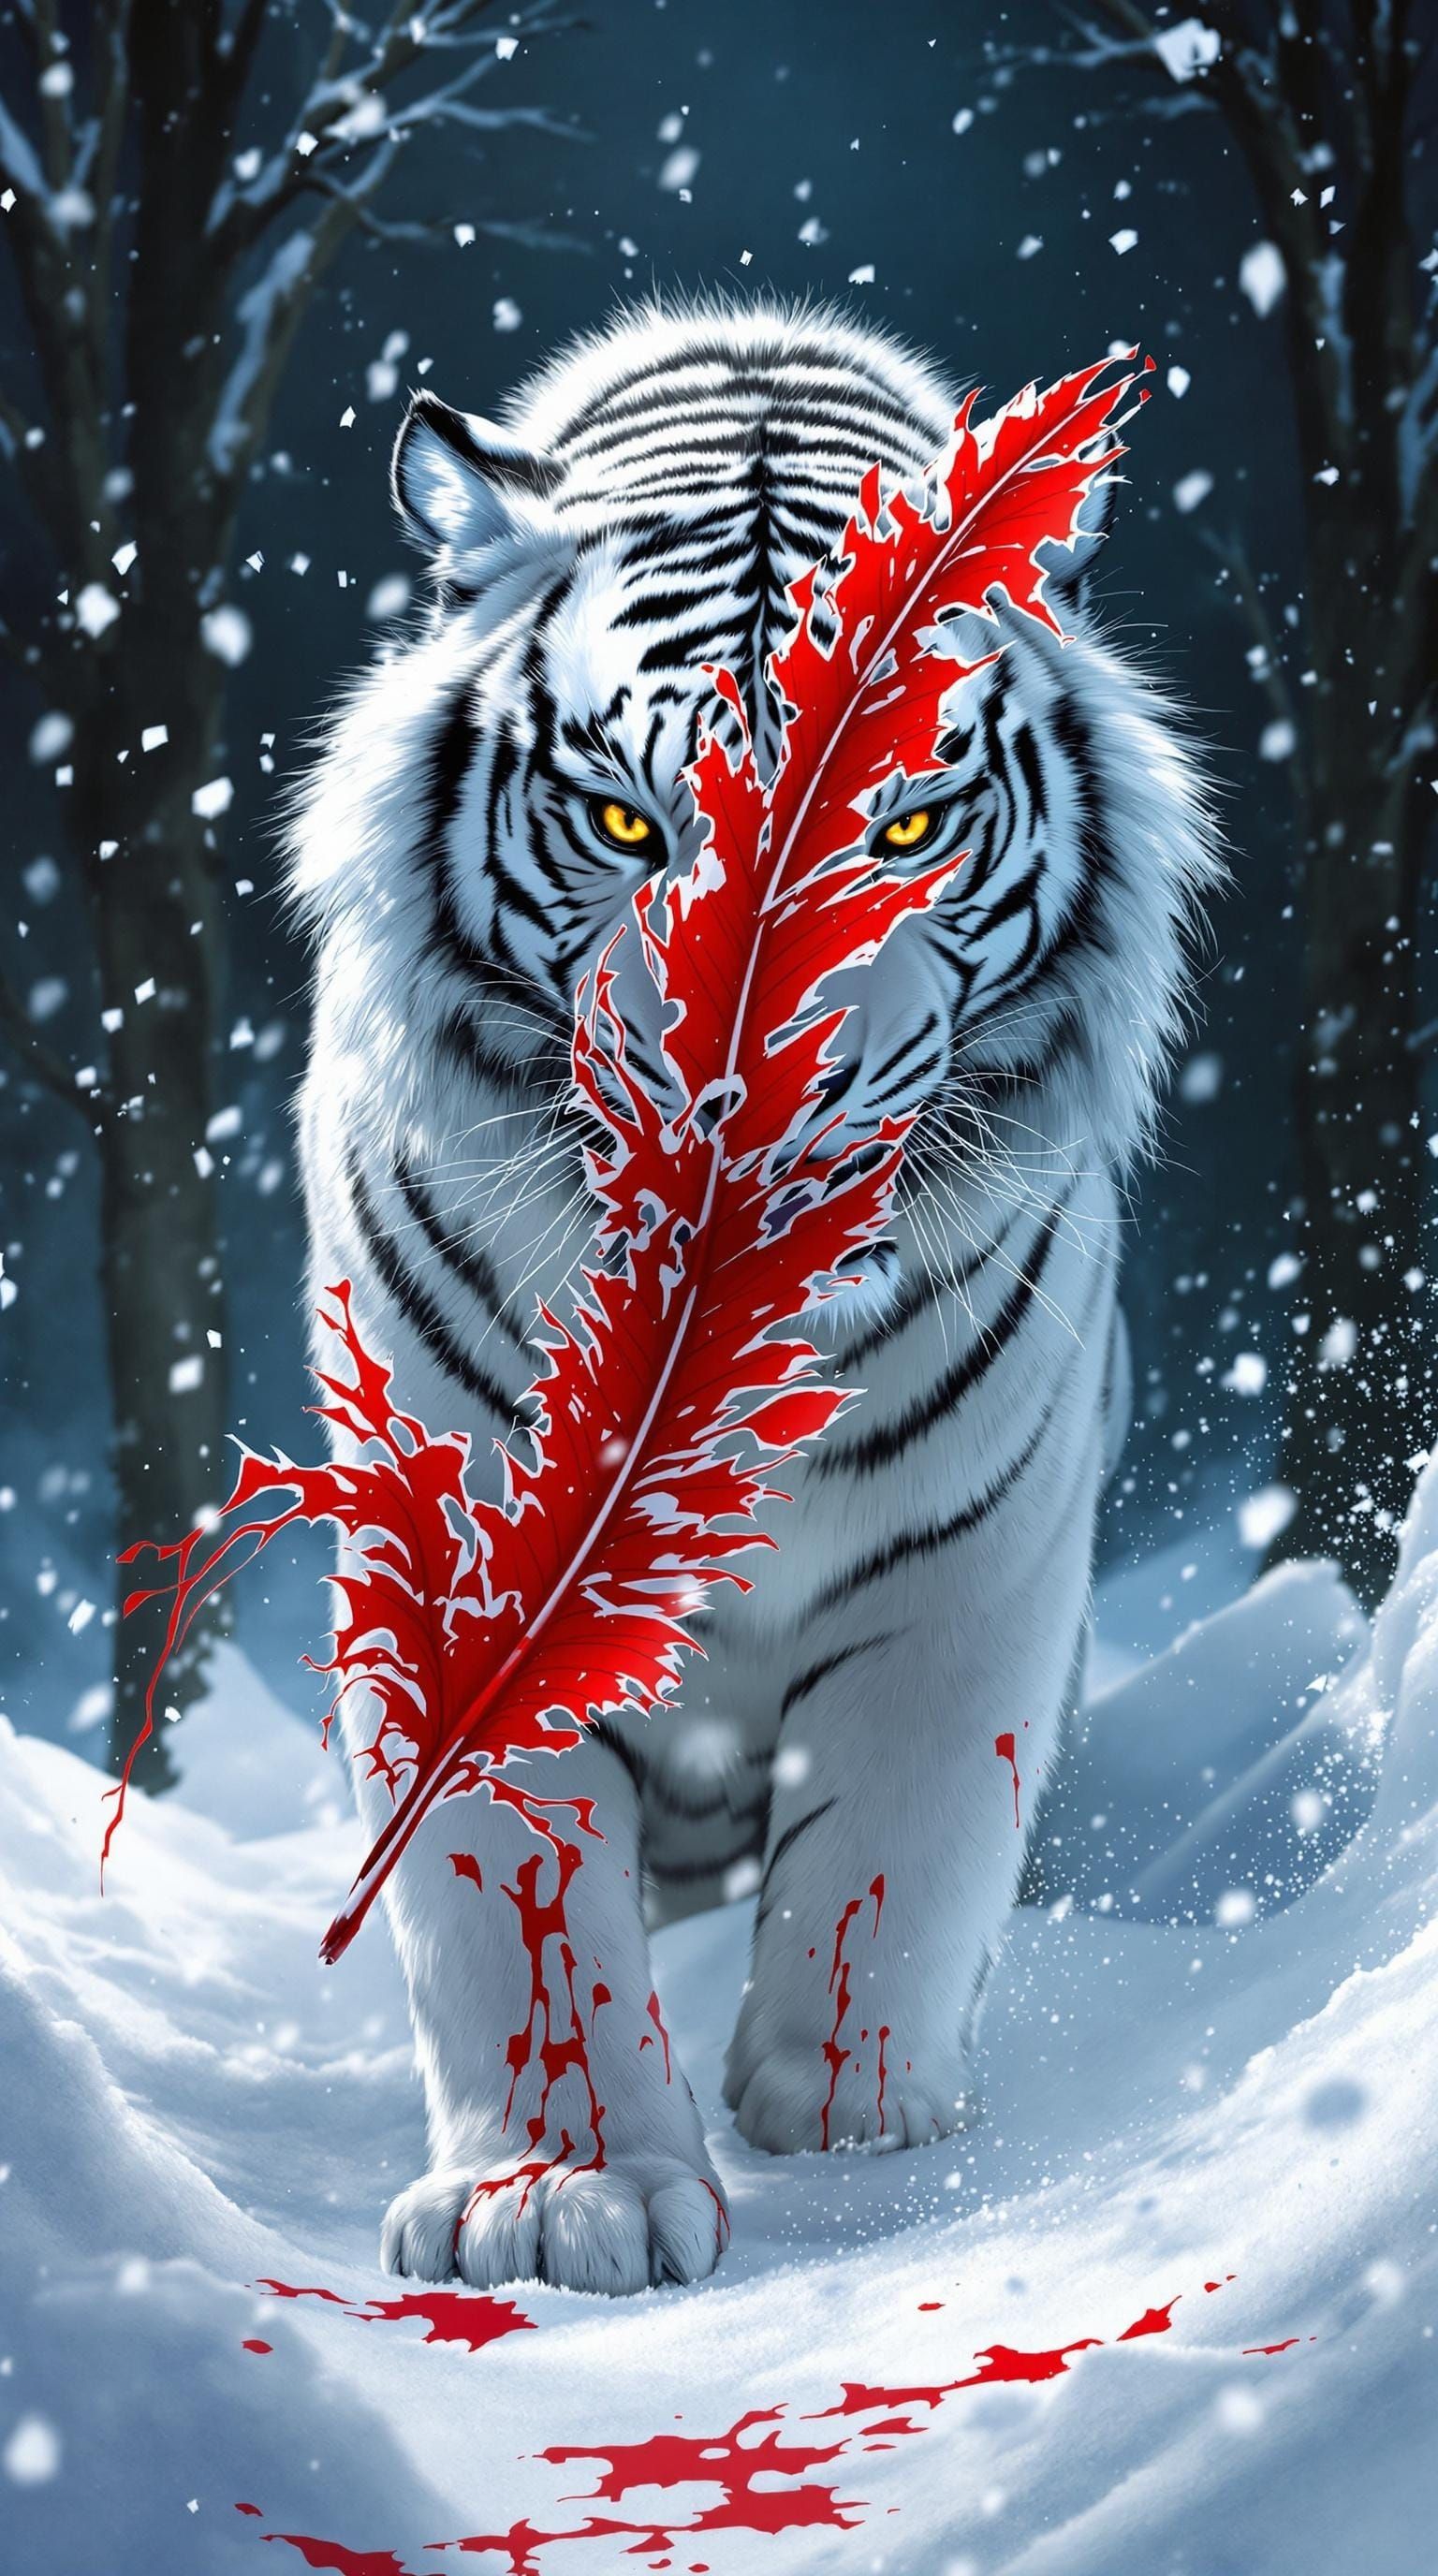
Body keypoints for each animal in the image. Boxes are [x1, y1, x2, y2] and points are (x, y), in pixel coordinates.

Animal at [289, 298, 1217, 2297]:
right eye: (628, 824)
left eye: (909, 824)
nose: (751, 1103)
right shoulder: (460, 1552)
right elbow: (507, 1889)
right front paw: (559, 2193)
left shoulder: (976, 1556)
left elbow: (903, 1843)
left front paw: (849, 2120)